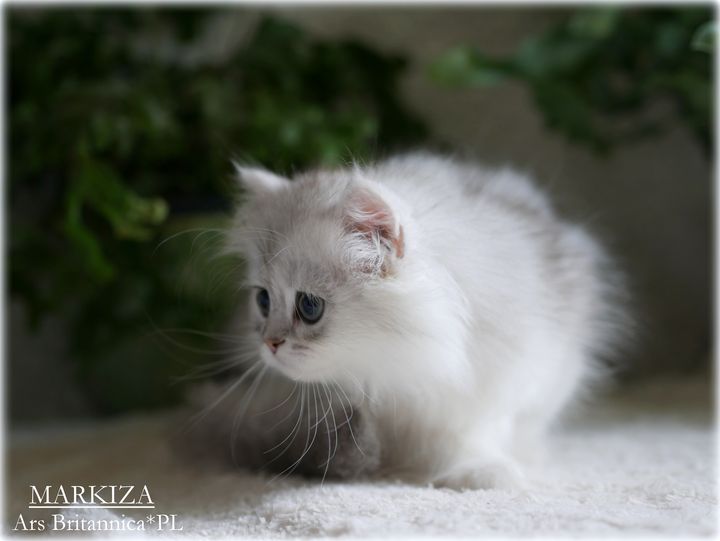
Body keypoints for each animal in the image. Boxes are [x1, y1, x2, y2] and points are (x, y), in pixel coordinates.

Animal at [186, 153, 628, 489]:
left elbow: (469, 436)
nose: (270, 344)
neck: (392, 367)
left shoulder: (502, 383)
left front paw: (479, 472)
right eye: (263, 301)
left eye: (309, 307)